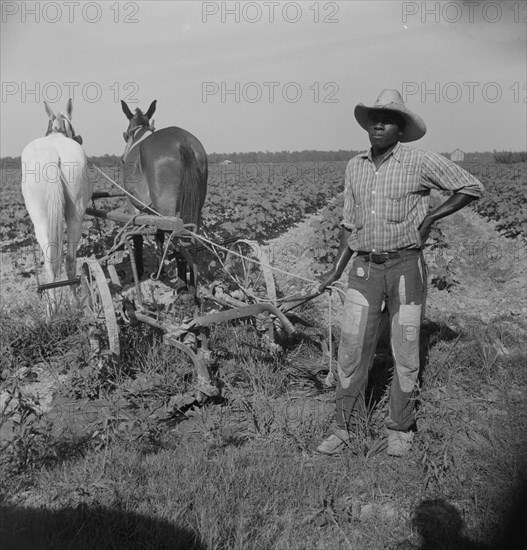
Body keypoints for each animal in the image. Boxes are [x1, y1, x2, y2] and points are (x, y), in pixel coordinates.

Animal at [21, 99, 93, 314]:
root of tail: (53, 156)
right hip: (73, 216)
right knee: (65, 260)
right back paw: (63, 307)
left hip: (41, 220)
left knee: (53, 261)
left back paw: (55, 308)